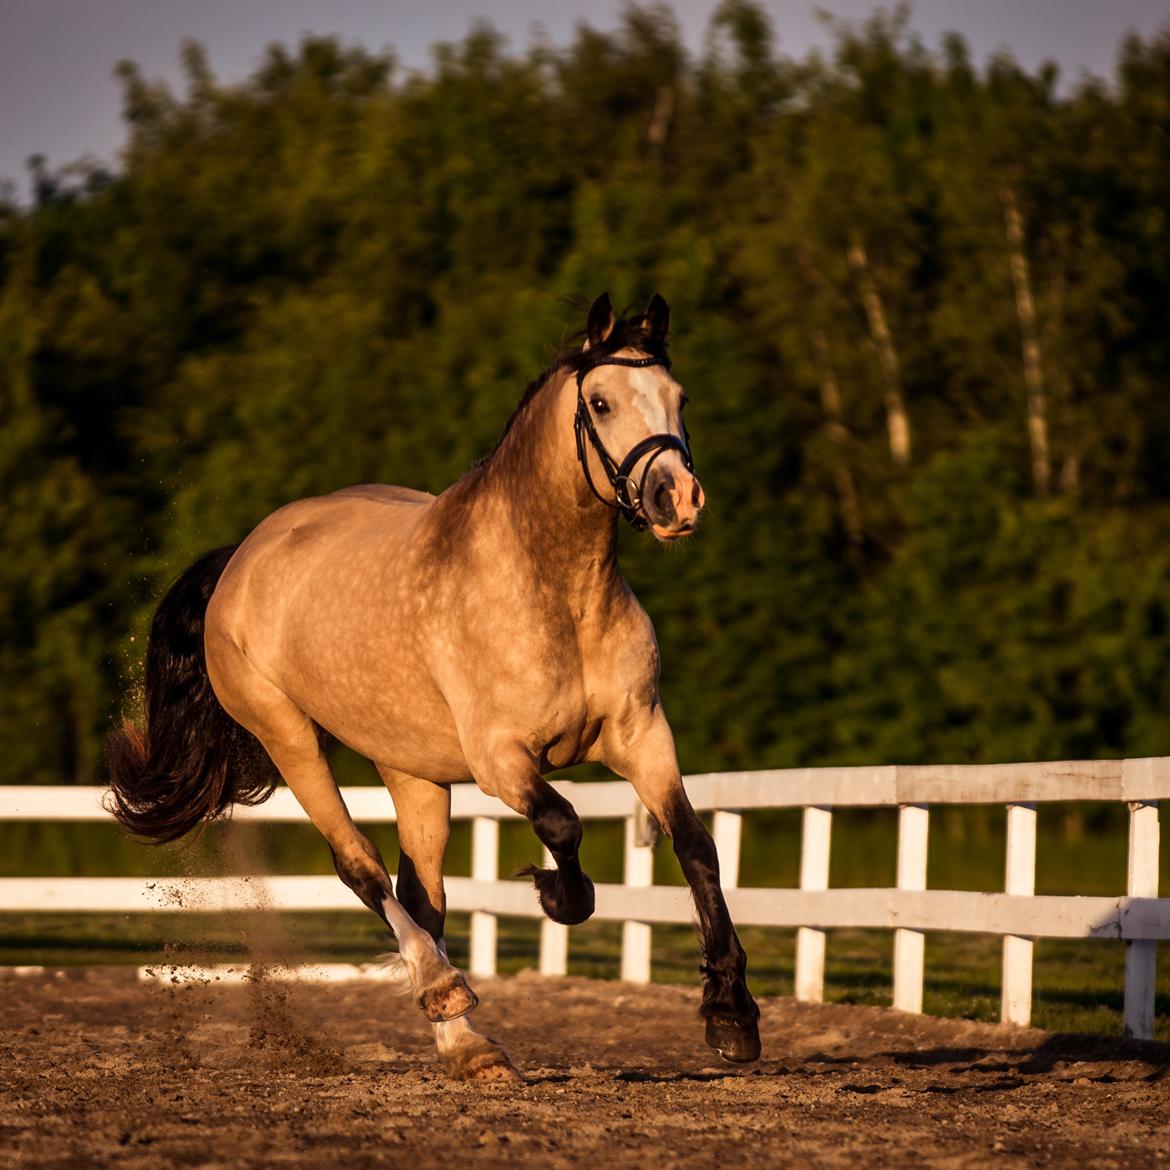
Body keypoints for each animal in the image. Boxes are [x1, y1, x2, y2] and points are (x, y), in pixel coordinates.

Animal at [109, 292, 762, 1076]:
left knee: (421, 894)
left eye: (679, 397)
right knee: (361, 869)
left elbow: (696, 845)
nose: (679, 500)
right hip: (289, 737)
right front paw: (557, 895)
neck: (560, 596)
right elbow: (563, 824)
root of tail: (243, 556)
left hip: (412, 770)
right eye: (601, 402)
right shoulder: (500, 758)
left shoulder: (642, 735)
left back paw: (469, 1047)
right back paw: (444, 990)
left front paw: (731, 1016)